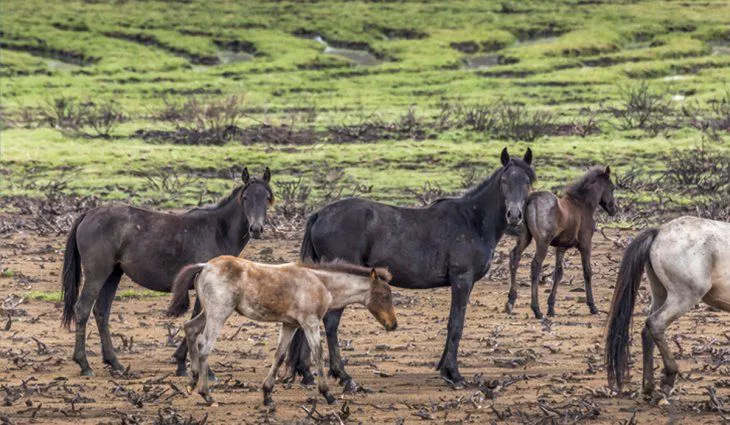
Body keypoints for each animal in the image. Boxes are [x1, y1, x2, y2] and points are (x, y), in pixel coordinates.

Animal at [61, 167, 274, 377]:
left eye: (266, 198)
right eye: (245, 197)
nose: (256, 228)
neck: (217, 231)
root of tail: (88, 215)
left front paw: (182, 363)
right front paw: (197, 367)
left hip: (113, 275)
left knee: (101, 312)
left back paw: (115, 363)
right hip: (97, 275)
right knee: (82, 309)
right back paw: (84, 364)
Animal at [166, 256, 397, 406]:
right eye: (385, 296)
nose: (393, 325)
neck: (321, 283)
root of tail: (205, 266)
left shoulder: (290, 325)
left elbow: (279, 355)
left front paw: (267, 394)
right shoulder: (310, 322)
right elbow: (318, 353)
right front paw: (327, 394)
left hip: (209, 313)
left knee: (190, 329)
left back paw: (193, 381)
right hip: (219, 314)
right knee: (204, 345)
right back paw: (206, 394)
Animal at [286, 147, 536, 390]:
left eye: (527, 181)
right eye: (504, 181)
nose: (514, 215)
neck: (472, 220)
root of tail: (319, 214)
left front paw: (444, 369)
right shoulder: (462, 280)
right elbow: (456, 324)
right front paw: (454, 374)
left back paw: (306, 373)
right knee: (331, 323)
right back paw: (344, 377)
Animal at [505, 166, 617, 319]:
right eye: (611, 187)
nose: (614, 209)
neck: (582, 204)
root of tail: (531, 198)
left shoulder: (561, 248)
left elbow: (558, 273)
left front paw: (551, 307)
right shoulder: (585, 244)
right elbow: (587, 272)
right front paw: (592, 306)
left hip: (525, 238)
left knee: (514, 257)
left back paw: (511, 301)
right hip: (543, 242)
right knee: (535, 266)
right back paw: (536, 309)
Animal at [606, 216, 730, 398]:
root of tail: (660, 231)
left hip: (661, 295)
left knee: (647, 331)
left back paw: (649, 387)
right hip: (682, 298)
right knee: (655, 323)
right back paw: (668, 379)